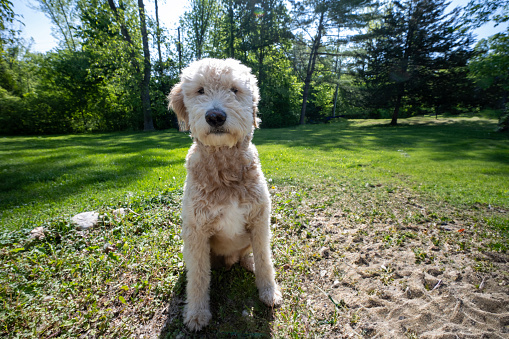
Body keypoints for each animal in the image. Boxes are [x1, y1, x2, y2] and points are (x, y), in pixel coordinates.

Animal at [170, 58, 282, 332]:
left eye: (234, 89)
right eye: (200, 90)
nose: (215, 116)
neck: (224, 168)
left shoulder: (260, 221)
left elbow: (265, 259)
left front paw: (269, 292)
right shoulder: (196, 232)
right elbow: (198, 277)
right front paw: (197, 314)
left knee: (250, 255)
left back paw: (248, 263)